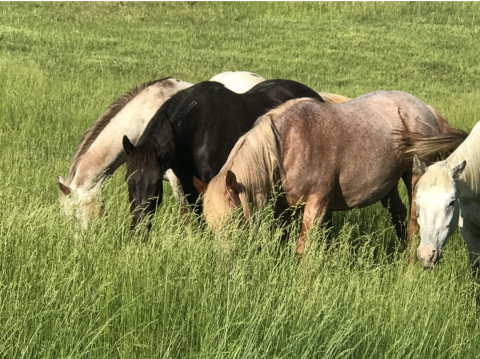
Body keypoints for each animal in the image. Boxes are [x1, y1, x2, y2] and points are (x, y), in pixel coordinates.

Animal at [58, 70, 266, 229]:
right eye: (67, 217)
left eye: (76, 216)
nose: (81, 244)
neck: (144, 115)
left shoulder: (177, 180)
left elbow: (185, 216)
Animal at [193, 91, 452, 258]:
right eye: (209, 224)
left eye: (233, 220)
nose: (225, 262)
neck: (285, 146)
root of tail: (425, 108)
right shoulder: (283, 209)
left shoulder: (317, 204)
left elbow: (303, 251)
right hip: (387, 187)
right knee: (399, 217)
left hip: (414, 178)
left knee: (413, 224)